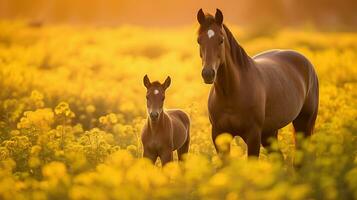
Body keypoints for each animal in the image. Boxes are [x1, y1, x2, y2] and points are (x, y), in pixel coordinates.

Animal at [196, 9, 318, 158]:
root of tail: (306, 61)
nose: (208, 74)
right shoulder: (219, 135)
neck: (231, 92)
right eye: (199, 40)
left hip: (304, 123)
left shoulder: (253, 136)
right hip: (269, 132)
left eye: (221, 40)